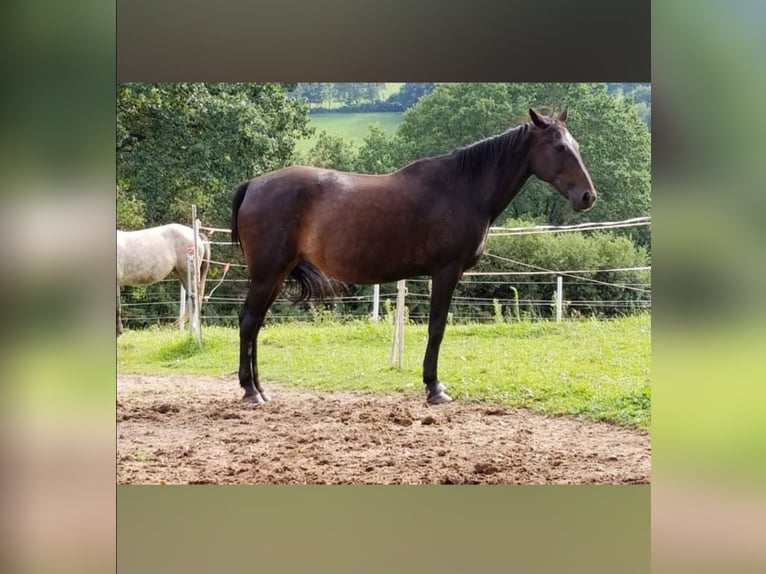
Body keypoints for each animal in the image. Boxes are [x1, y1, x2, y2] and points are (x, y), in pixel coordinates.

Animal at [231, 108, 596, 404]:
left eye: (577, 145)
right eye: (560, 148)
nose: (588, 196)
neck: (461, 189)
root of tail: (253, 185)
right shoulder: (446, 271)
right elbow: (437, 328)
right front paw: (434, 387)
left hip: (277, 274)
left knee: (257, 323)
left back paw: (261, 389)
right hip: (267, 274)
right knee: (248, 321)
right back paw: (250, 391)